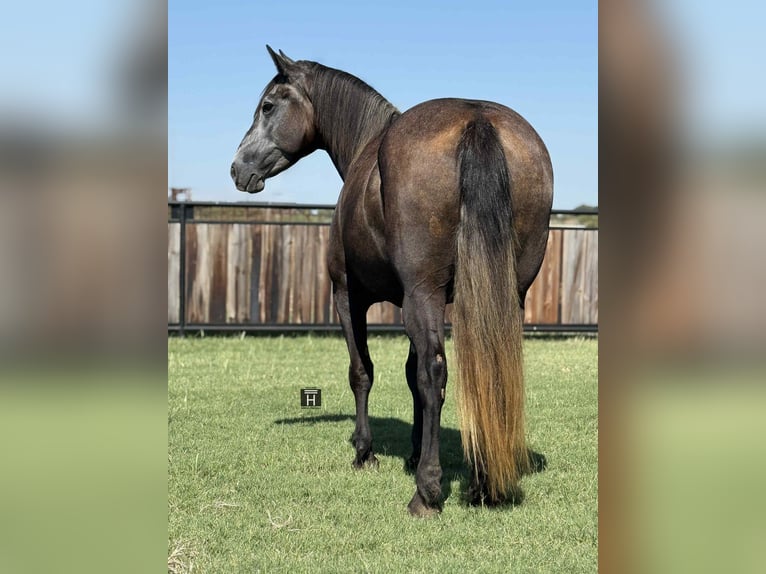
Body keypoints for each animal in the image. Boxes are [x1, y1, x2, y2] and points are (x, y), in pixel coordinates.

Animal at [231, 47, 553, 517]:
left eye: (268, 106)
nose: (237, 169)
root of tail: (478, 120)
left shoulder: (350, 297)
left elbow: (363, 371)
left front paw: (365, 452)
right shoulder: (410, 302)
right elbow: (410, 375)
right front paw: (415, 450)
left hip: (423, 294)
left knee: (434, 372)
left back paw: (427, 493)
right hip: (504, 295)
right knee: (488, 365)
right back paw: (484, 482)